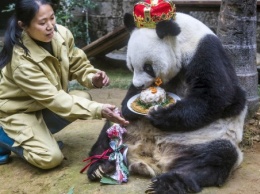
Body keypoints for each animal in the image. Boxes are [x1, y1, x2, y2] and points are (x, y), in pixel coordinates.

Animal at [86, 11, 247, 194]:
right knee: (110, 127)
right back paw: (100, 166)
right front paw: (130, 107)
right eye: (132, 67)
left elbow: (218, 95)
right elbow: (129, 99)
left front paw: (161, 115)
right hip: (129, 128)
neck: (182, 38)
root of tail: (153, 154)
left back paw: (169, 182)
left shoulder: (206, 51)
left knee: (217, 157)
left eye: (148, 67)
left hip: (207, 138)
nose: (139, 85)